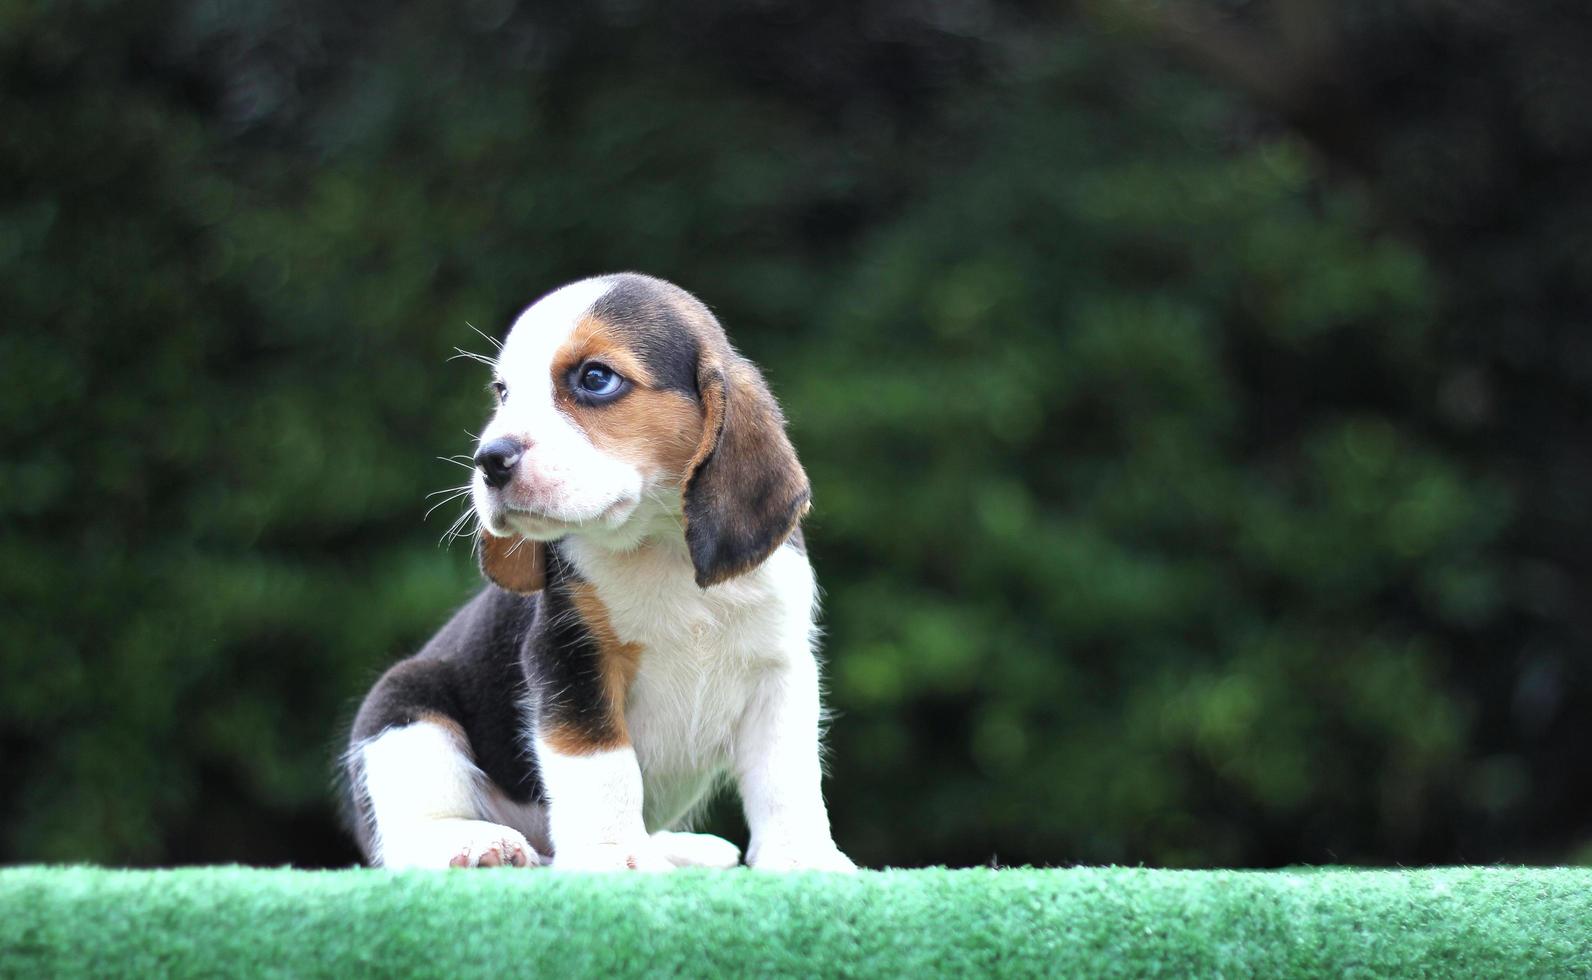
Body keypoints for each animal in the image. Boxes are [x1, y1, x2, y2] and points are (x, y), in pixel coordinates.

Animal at [340, 270, 853, 871]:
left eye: (595, 378)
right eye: (503, 392)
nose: (489, 460)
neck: (661, 549)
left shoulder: (781, 669)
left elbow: (786, 776)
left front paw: (802, 858)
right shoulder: (573, 658)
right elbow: (604, 766)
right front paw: (614, 856)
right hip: (404, 711)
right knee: (404, 837)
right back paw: (472, 842)